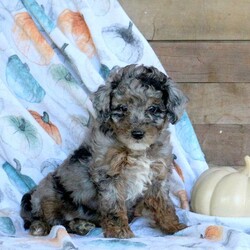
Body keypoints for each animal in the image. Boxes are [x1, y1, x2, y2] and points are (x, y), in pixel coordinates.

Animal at [20, 64, 188, 238]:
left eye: (153, 109)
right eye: (122, 108)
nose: (137, 134)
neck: (136, 151)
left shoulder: (157, 175)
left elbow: (164, 204)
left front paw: (173, 226)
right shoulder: (109, 175)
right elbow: (113, 207)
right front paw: (119, 231)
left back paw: (80, 225)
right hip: (49, 193)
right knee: (51, 221)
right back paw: (42, 226)